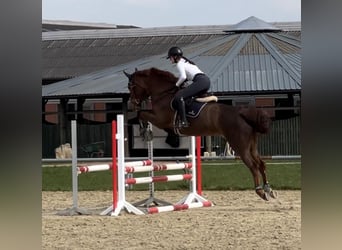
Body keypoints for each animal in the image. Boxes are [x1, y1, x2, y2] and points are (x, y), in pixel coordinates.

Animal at [124, 67, 276, 201]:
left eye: (131, 86)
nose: (131, 103)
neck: (163, 93)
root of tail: (240, 113)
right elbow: (143, 115)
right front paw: (147, 132)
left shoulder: (160, 119)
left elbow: (141, 114)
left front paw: (145, 132)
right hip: (251, 146)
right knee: (261, 164)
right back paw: (268, 189)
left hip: (240, 147)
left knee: (253, 166)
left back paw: (260, 191)